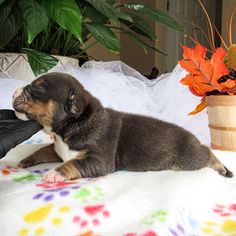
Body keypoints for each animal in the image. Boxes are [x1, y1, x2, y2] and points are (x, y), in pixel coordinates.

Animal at [12, 72, 232, 183]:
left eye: (39, 88)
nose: (14, 91)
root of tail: (194, 139)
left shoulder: (98, 160)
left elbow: (73, 164)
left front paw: (54, 173)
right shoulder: (58, 149)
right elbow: (44, 150)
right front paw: (27, 160)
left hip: (190, 159)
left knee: (208, 154)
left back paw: (222, 167)